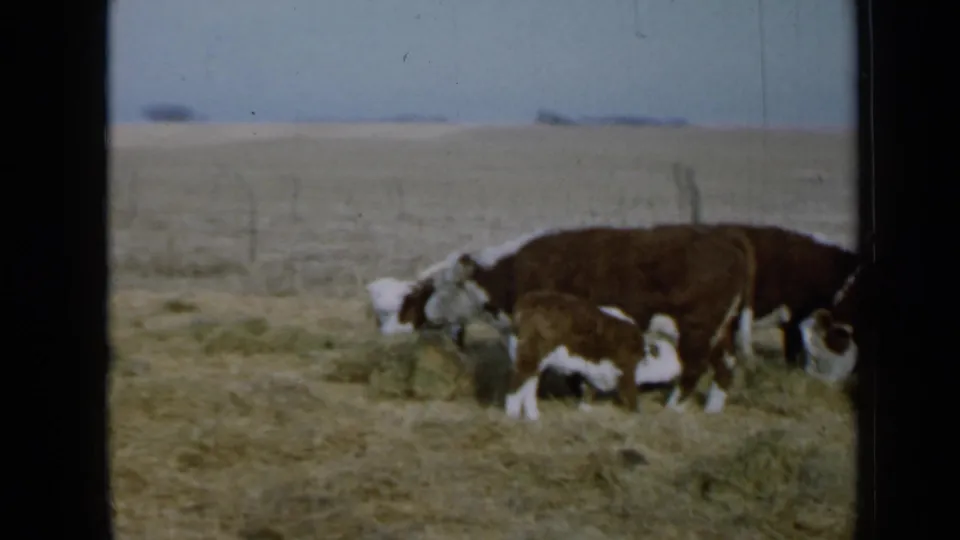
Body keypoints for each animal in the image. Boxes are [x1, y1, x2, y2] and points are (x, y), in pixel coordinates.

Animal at [504, 290, 682, 421]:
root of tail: (528, 301)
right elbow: (631, 394)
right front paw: (637, 414)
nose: (680, 368)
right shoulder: (626, 369)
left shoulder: (592, 370)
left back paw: (532, 416)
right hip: (530, 354)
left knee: (529, 383)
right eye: (669, 355)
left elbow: (587, 389)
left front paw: (585, 408)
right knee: (518, 381)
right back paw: (512, 415)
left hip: (533, 358)